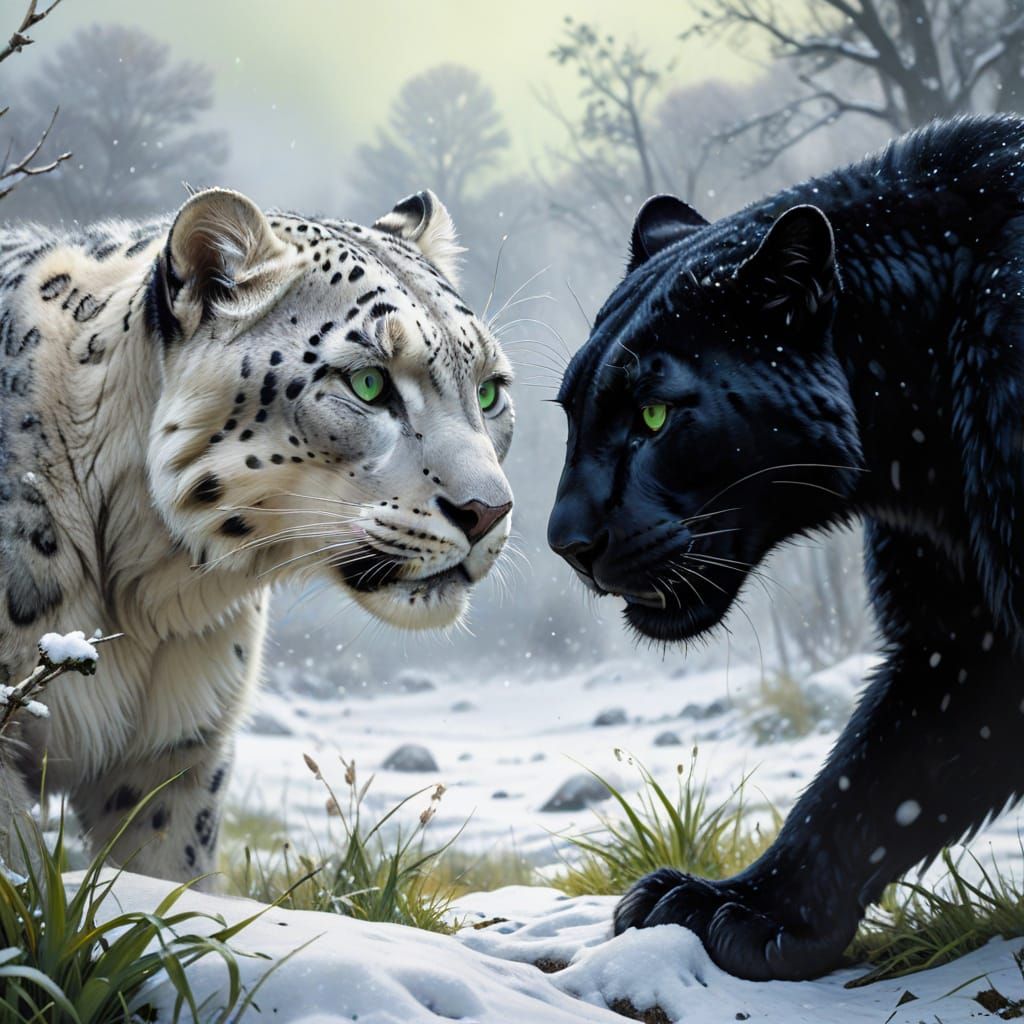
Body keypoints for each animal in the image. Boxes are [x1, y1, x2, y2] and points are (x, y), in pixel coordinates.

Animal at [0, 186, 514, 884]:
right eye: (369, 382)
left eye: (488, 391)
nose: (490, 511)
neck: (138, 593)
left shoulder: (173, 755)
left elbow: (169, 882)